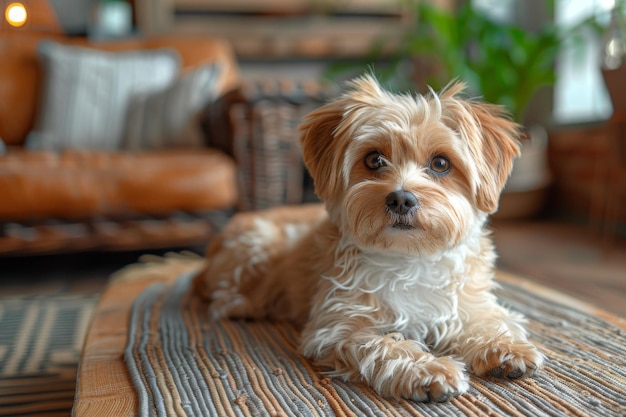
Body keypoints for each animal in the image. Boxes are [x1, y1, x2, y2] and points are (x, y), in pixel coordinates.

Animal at [194, 75, 540, 404]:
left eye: (441, 163)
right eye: (374, 159)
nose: (401, 199)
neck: (410, 258)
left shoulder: (470, 302)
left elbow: (488, 320)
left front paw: (505, 347)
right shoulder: (340, 325)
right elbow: (387, 346)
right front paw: (428, 370)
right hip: (257, 244)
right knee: (223, 295)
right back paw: (246, 306)